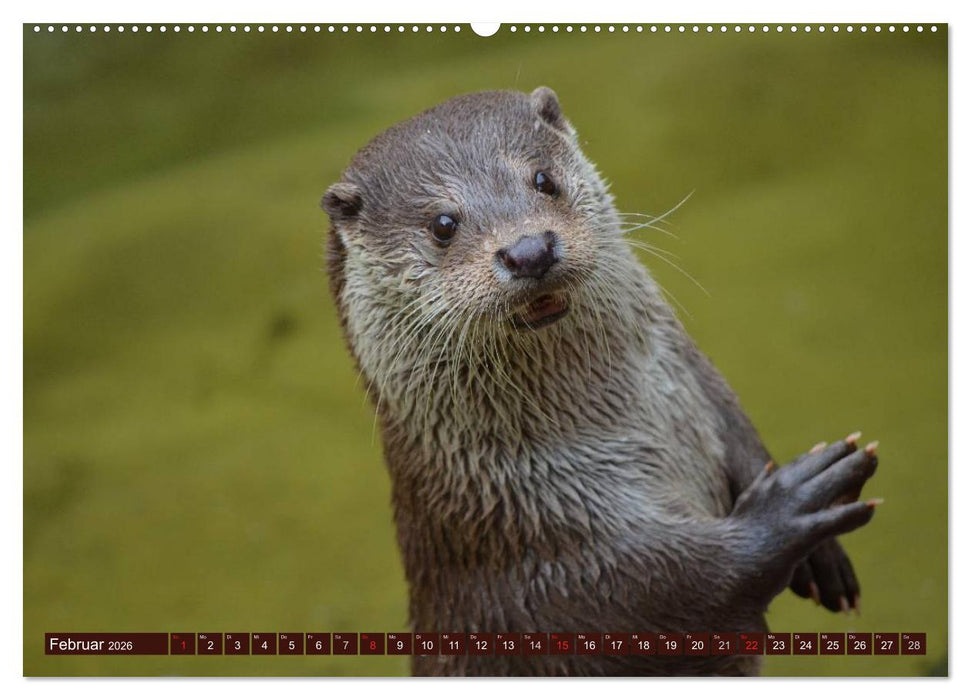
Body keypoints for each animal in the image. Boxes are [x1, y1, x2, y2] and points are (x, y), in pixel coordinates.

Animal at [320, 87, 880, 676]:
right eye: (443, 224)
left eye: (543, 180)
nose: (529, 250)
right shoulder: (544, 551)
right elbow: (668, 591)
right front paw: (792, 507)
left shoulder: (699, 383)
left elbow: (743, 435)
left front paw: (823, 557)